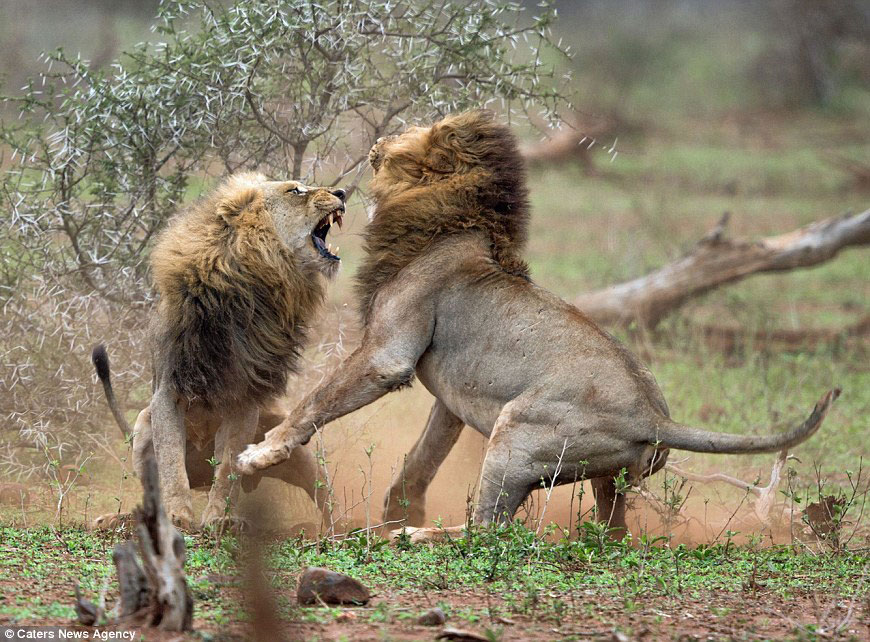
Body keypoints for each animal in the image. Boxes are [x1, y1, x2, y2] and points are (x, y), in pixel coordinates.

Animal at [91, 172, 344, 528]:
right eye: (295, 190)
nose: (342, 192)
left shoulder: (246, 400)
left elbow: (227, 468)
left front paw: (219, 520)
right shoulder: (167, 392)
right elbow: (170, 464)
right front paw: (178, 515)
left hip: (294, 445)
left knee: (323, 495)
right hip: (142, 423)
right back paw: (119, 518)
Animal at [235, 112, 840, 536]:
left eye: (415, 129)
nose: (379, 140)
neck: (447, 222)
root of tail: (655, 416)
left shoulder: (389, 354)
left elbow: (314, 403)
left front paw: (259, 453)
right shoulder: (450, 394)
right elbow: (423, 457)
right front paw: (396, 511)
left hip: (516, 431)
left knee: (488, 531)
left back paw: (416, 538)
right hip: (607, 479)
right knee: (609, 534)